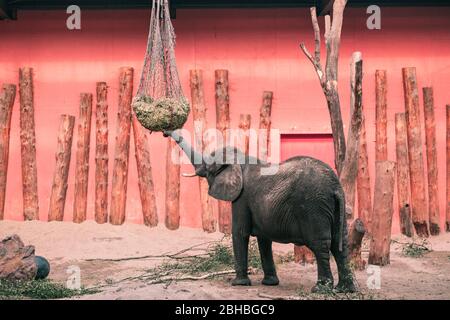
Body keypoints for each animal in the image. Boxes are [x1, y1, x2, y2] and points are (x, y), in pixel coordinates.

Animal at [163, 131, 356, 292]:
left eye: (208, 166)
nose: (165, 132)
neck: (241, 159)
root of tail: (335, 188)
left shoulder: (242, 198)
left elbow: (240, 232)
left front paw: (238, 284)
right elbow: (264, 238)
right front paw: (270, 283)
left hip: (313, 206)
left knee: (320, 244)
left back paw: (321, 289)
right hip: (335, 207)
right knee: (340, 244)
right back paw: (345, 289)